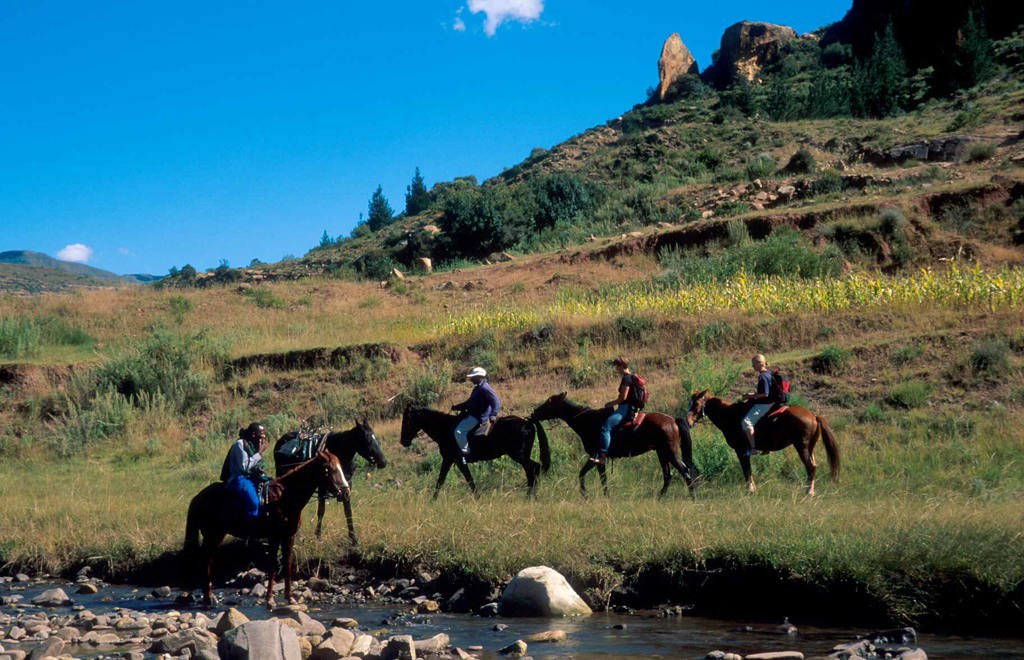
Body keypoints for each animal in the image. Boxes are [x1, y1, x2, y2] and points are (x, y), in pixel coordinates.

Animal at [184, 448, 350, 607]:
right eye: (331, 469)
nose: (346, 492)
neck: (285, 497)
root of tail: (198, 497)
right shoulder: (274, 537)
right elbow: (272, 565)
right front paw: (270, 599)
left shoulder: (289, 536)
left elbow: (287, 564)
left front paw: (290, 598)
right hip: (213, 534)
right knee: (205, 559)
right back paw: (207, 599)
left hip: (216, 536)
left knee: (208, 559)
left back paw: (209, 596)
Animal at [399, 407, 550, 498]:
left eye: (407, 420)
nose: (403, 441)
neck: (445, 428)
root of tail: (528, 421)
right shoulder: (451, 460)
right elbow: (444, 479)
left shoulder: (455, 460)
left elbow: (465, 479)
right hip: (521, 456)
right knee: (533, 470)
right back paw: (531, 496)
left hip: (519, 455)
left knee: (533, 469)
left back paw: (529, 496)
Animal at [531, 392, 696, 498]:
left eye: (548, 402)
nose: (533, 413)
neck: (587, 421)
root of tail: (673, 421)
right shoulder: (598, 458)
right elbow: (595, 476)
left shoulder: (597, 457)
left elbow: (591, 476)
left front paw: (589, 494)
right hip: (662, 453)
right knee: (668, 475)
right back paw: (660, 498)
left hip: (670, 452)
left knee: (685, 471)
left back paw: (692, 497)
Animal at [686, 390, 840, 496]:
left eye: (697, 404)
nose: (688, 421)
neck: (731, 415)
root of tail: (813, 416)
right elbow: (748, 471)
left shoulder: (741, 451)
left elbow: (746, 470)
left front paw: (750, 491)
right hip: (810, 447)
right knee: (813, 466)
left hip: (801, 447)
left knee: (810, 467)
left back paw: (808, 493)